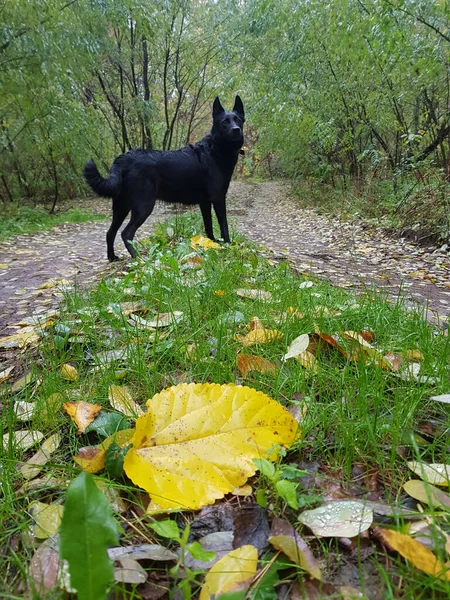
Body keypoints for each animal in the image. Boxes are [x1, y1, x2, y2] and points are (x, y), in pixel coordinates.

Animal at [84, 95, 246, 260]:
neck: (215, 149)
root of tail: (123, 158)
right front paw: (228, 246)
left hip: (121, 207)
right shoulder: (218, 198)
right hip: (143, 206)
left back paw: (112, 257)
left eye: (238, 120)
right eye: (224, 122)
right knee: (126, 233)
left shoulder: (205, 202)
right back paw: (139, 259)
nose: (236, 130)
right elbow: (224, 225)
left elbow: (209, 227)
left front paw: (211, 244)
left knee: (110, 232)